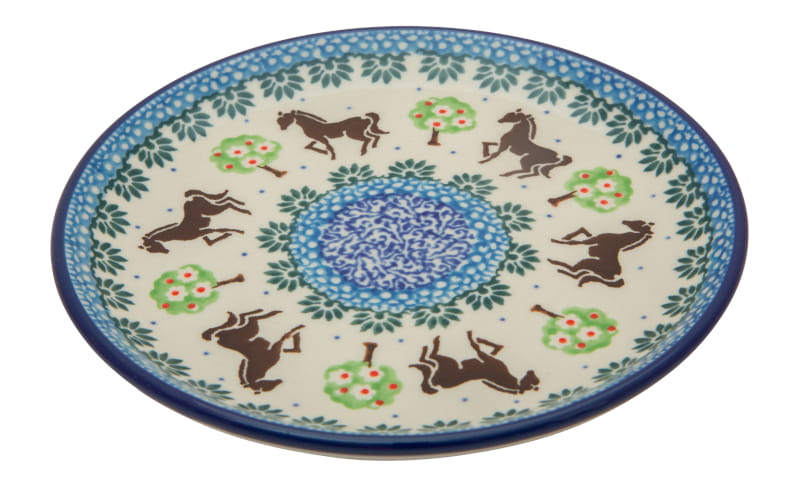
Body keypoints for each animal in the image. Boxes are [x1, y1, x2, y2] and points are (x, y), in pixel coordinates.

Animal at [409, 331, 540, 395]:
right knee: (428, 363)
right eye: (533, 378)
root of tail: (438, 384)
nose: (531, 371)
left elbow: (476, 346)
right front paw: (495, 347)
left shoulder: (486, 358)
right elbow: (479, 346)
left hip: (447, 362)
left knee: (430, 360)